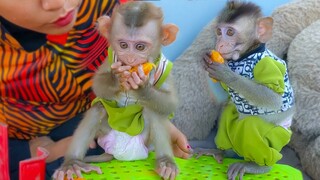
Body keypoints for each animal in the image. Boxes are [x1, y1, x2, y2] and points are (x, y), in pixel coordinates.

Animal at [53, 1, 181, 180]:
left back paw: (165, 162)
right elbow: (98, 85)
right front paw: (117, 78)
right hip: (105, 134)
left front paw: (142, 87)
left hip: (145, 140)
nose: (130, 59)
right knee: (98, 108)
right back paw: (72, 163)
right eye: (123, 45)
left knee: (154, 111)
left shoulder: (163, 67)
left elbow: (170, 103)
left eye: (140, 47)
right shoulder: (111, 58)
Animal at [200, 1, 296, 180]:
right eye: (219, 31)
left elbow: (274, 100)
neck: (247, 55)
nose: (219, 44)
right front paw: (205, 60)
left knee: (251, 124)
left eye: (230, 32)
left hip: (278, 138)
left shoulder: (268, 65)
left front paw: (228, 75)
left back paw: (258, 166)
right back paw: (222, 152)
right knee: (228, 109)